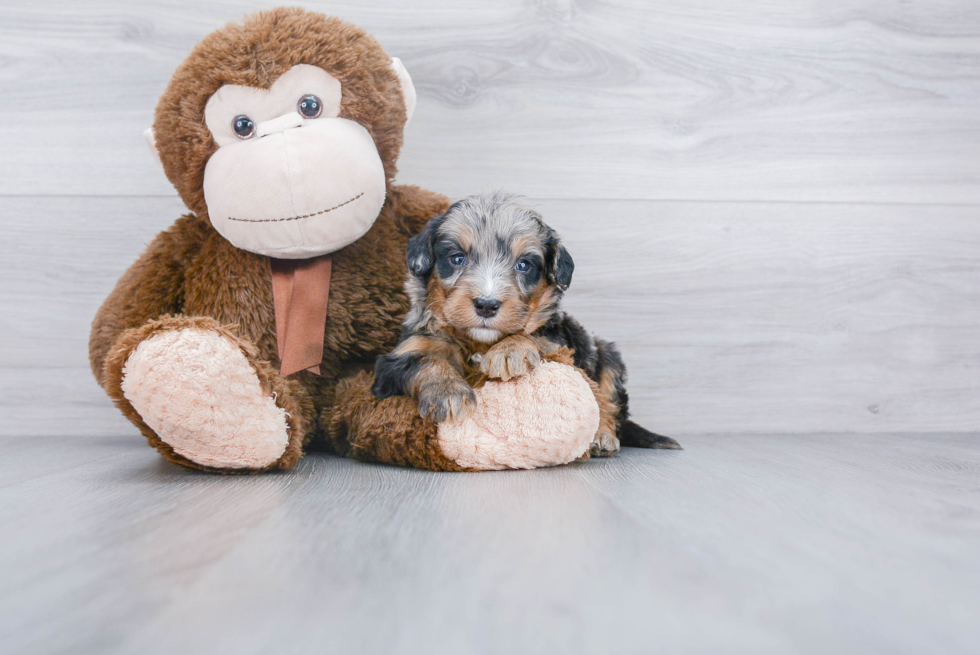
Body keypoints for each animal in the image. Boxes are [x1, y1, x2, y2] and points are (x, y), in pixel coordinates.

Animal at [372, 190, 676, 456]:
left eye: (524, 265)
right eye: (457, 258)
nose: (486, 304)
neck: (477, 342)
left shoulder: (558, 341)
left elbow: (534, 337)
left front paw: (509, 351)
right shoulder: (399, 357)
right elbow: (426, 360)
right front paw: (448, 392)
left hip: (607, 356)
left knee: (609, 402)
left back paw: (602, 436)